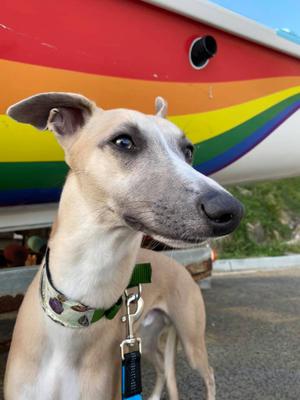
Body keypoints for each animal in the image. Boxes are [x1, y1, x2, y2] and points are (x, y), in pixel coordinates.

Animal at [4, 92, 244, 398]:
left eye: (188, 151)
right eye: (123, 141)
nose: (231, 211)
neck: (74, 318)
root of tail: (179, 268)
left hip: (189, 339)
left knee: (208, 373)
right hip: (147, 340)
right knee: (162, 369)